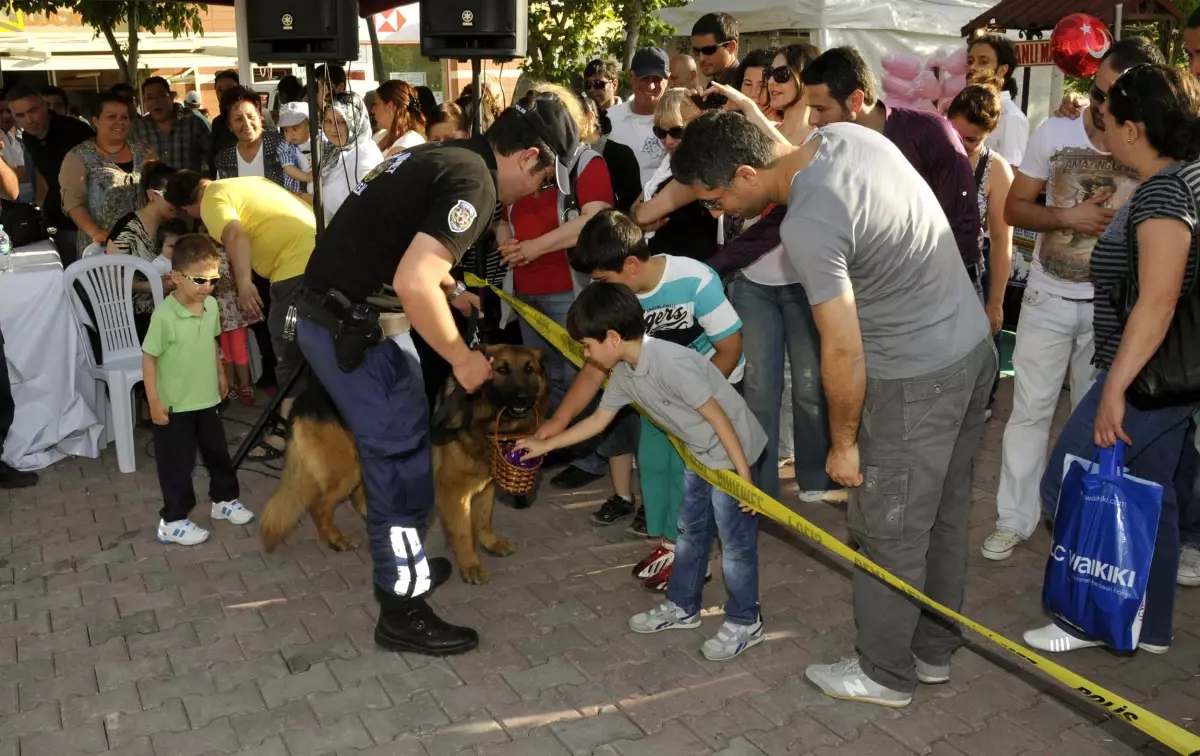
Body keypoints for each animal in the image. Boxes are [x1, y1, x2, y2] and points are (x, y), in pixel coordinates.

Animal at [260, 345, 549, 585]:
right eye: (502, 370)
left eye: (529, 369)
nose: (522, 398)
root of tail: (304, 397)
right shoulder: (453, 490)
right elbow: (464, 532)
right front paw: (470, 565)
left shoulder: (485, 481)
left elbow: (483, 519)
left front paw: (490, 542)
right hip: (346, 470)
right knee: (319, 505)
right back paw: (335, 538)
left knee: (358, 496)